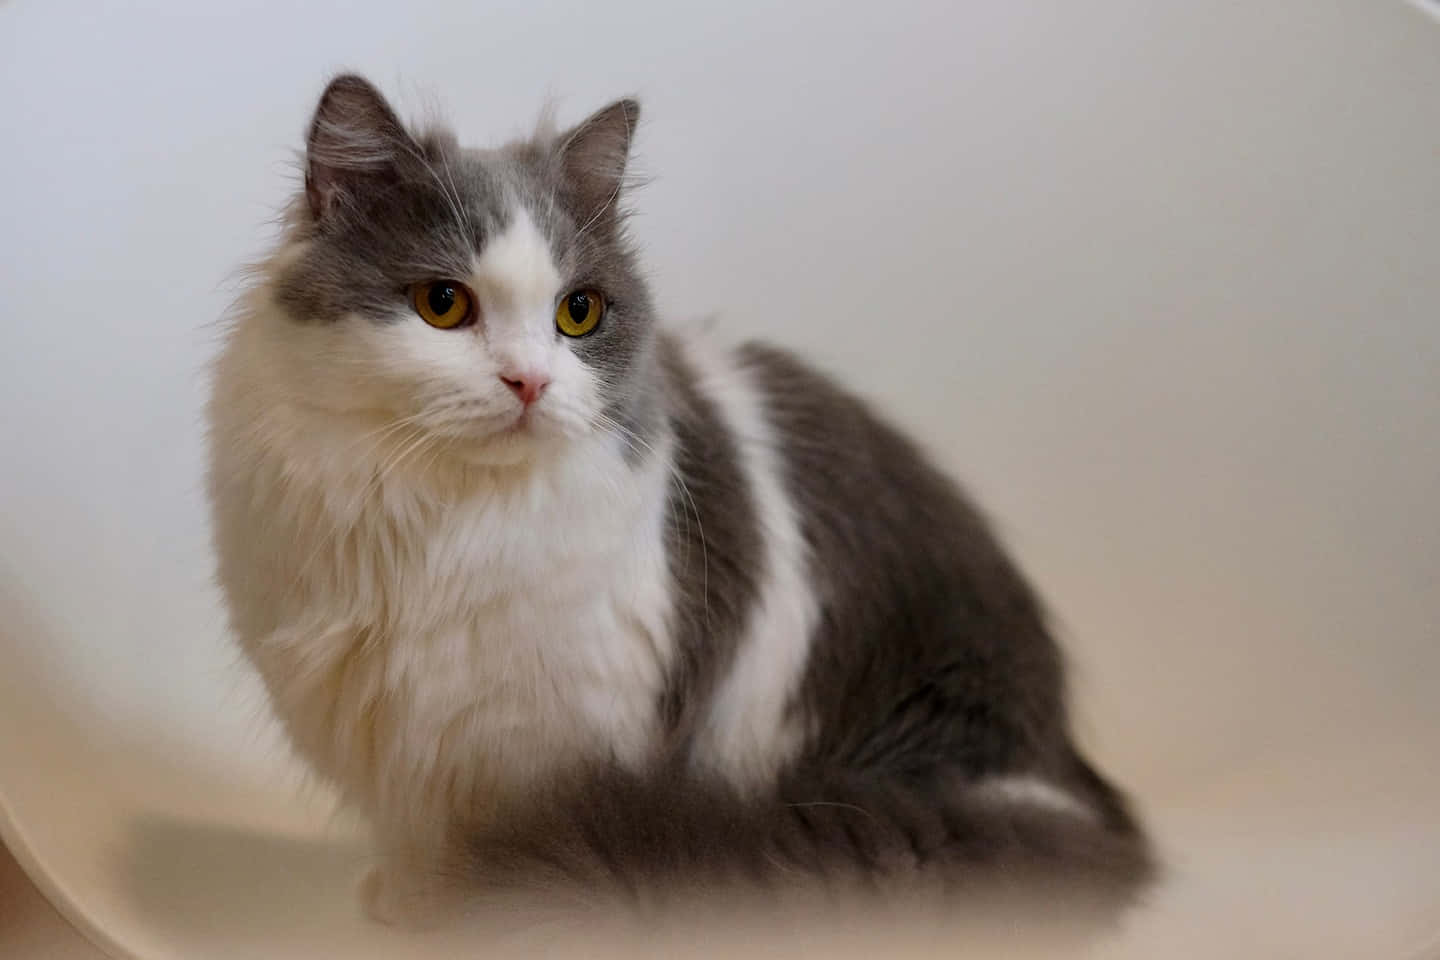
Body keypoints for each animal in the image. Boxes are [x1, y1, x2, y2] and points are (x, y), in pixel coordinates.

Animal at [203, 75, 1152, 932]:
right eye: (444, 304)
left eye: (578, 313)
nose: (529, 382)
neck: (441, 529)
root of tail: (1064, 776)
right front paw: (408, 903)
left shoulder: (568, 730)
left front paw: (467, 915)